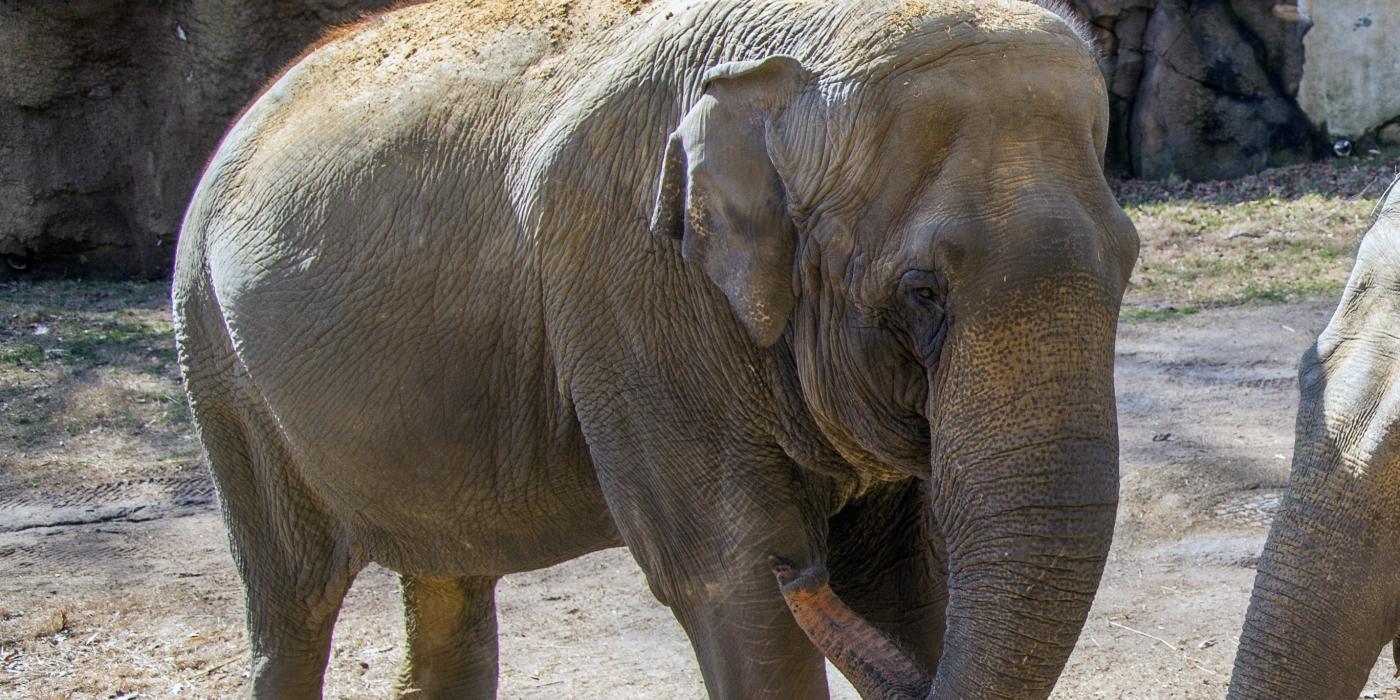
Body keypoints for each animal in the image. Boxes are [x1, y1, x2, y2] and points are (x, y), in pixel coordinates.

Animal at [172, 0, 1136, 697]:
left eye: (1128, 262)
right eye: (920, 293)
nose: (802, 570)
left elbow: (899, 575)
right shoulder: (629, 289)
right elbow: (729, 580)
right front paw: (771, 568)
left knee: (447, 581)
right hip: (216, 359)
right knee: (292, 603)